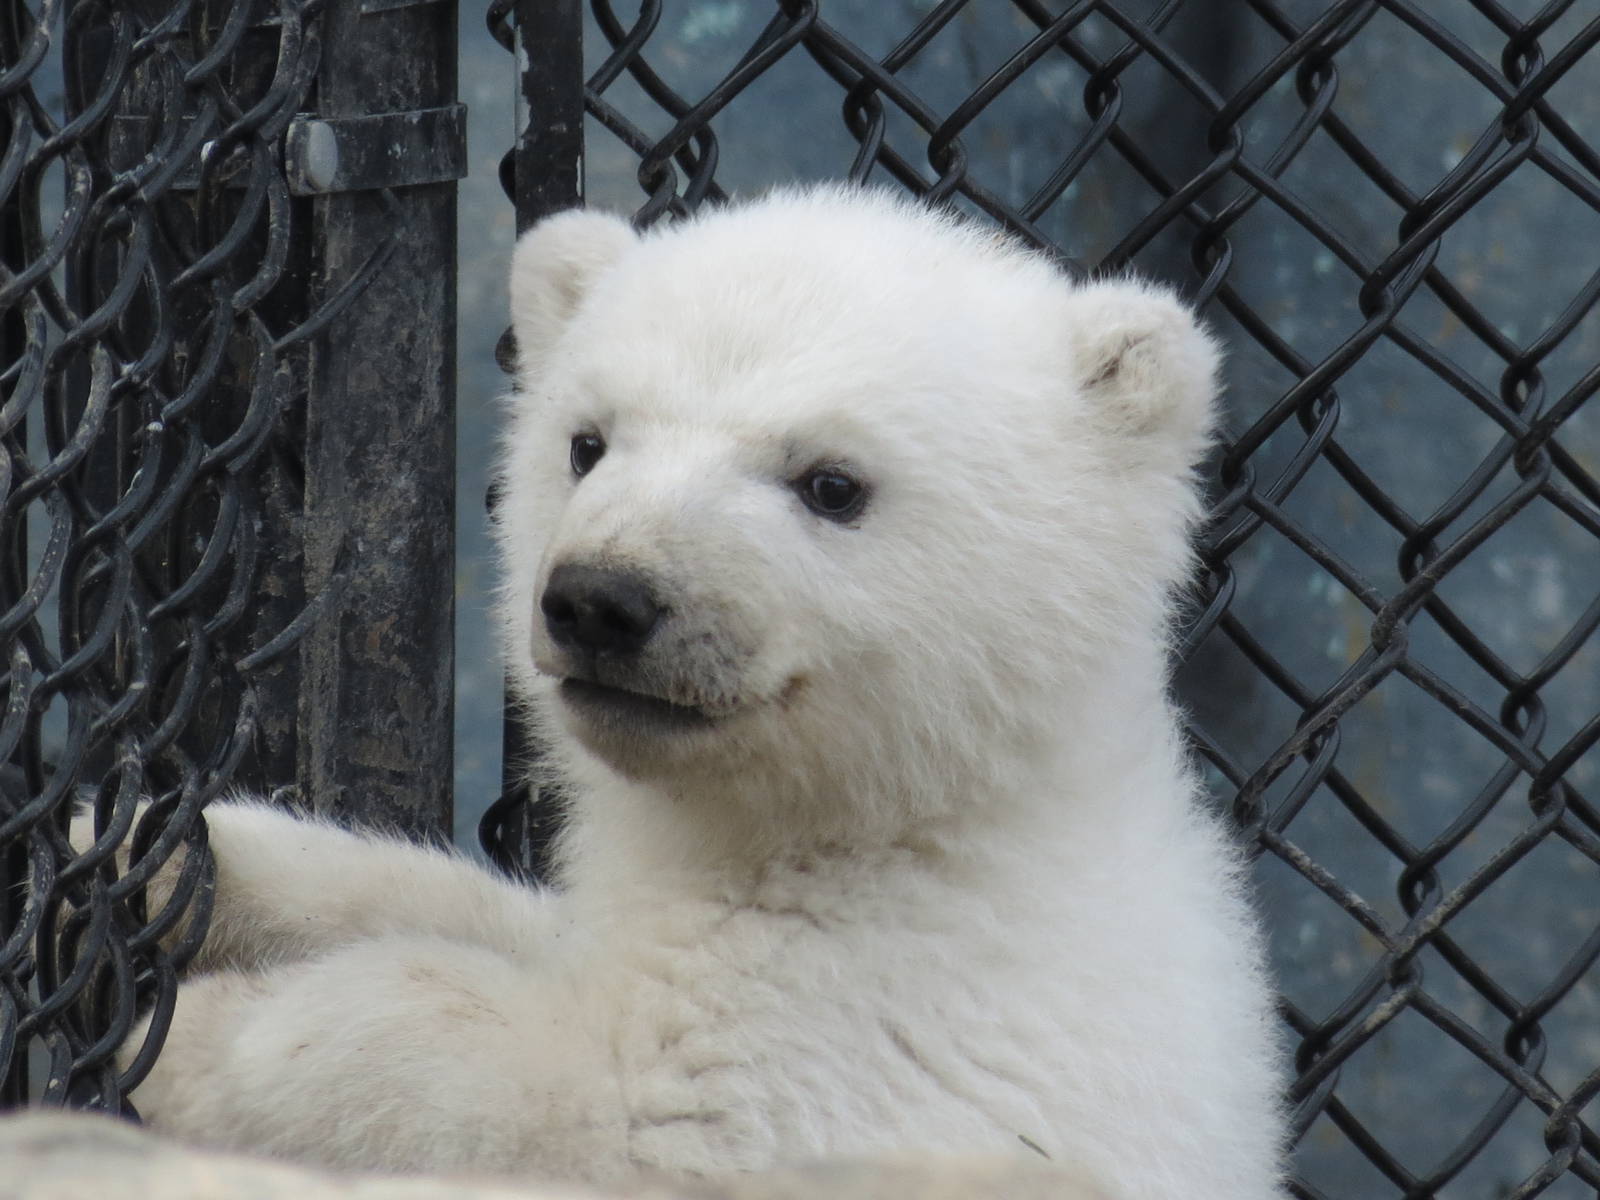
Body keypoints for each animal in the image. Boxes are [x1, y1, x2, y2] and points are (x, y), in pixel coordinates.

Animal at [104, 187, 1284, 1198]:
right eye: (587, 442)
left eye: (832, 483)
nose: (600, 599)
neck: (925, 819)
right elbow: (500, 918)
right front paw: (149, 856)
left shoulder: (904, 1036)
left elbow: (600, 1107)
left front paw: (190, 1040)